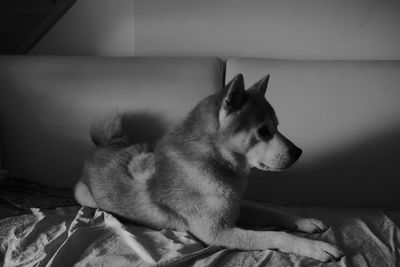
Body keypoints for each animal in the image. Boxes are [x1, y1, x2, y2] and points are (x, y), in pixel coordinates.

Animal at [74, 74, 344, 262]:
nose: (298, 152)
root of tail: (104, 146)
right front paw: (314, 247)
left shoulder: (236, 208)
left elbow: (274, 213)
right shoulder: (217, 232)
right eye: (264, 131)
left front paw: (306, 222)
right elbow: (274, 234)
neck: (214, 161)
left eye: (277, 126)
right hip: (85, 197)